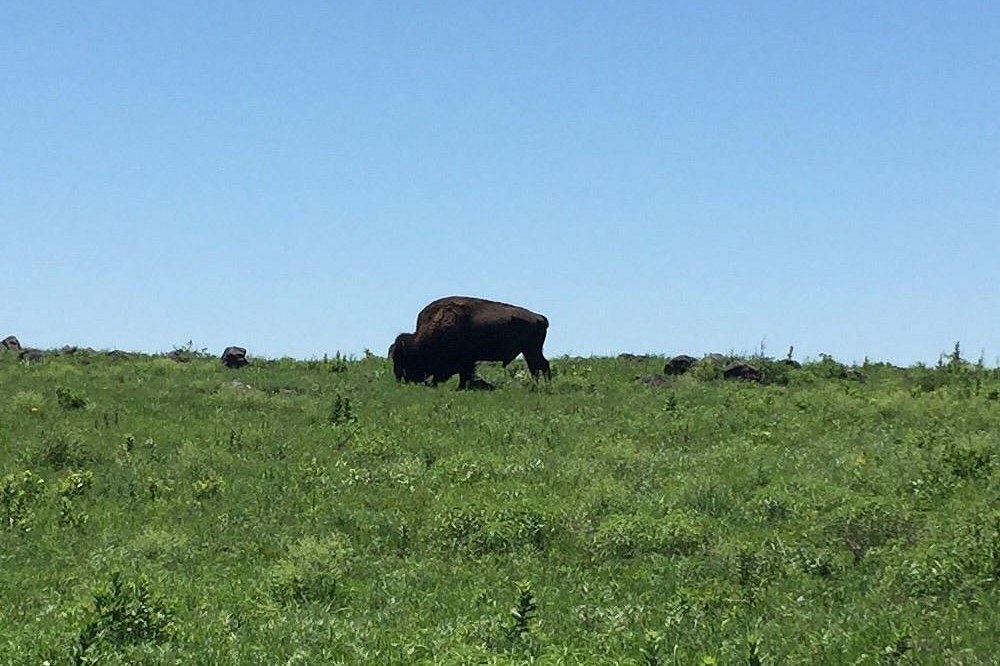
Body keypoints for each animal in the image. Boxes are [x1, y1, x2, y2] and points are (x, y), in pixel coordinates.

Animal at [390, 296, 551, 389]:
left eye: (402, 358)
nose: (398, 377)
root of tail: (539, 317)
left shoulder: (465, 362)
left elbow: (465, 374)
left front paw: (460, 388)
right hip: (530, 351)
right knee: (538, 366)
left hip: (531, 350)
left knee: (539, 366)